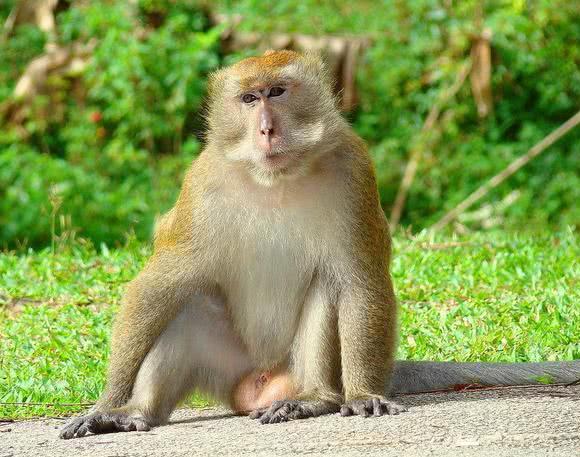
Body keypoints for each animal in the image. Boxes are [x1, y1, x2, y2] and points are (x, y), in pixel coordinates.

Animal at [60, 50, 580, 438]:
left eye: (277, 92)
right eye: (248, 98)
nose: (266, 128)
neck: (276, 178)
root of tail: (259, 382)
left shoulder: (354, 170)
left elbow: (358, 281)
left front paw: (364, 394)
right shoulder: (199, 185)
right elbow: (160, 285)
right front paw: (108, 403)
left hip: (295, 370)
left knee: (327, 287)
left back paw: (314, 400)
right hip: (226, 367)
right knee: (188, 306)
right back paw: (139, 413)